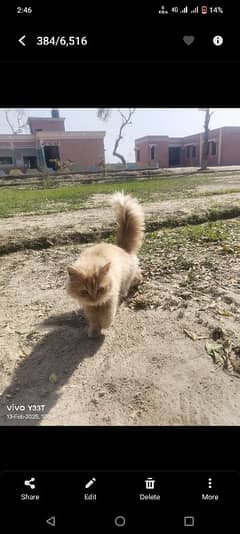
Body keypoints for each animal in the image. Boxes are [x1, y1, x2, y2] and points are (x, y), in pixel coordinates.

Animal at [66, 193, 144, 338]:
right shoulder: (88, 307)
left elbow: (106, 317)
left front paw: (104, 326)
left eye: (100, 289)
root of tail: (122, 248)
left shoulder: (110, 299)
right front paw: (94, 331)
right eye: (84, 292)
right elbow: (93, 320)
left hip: (126, 279)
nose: (94, 298)